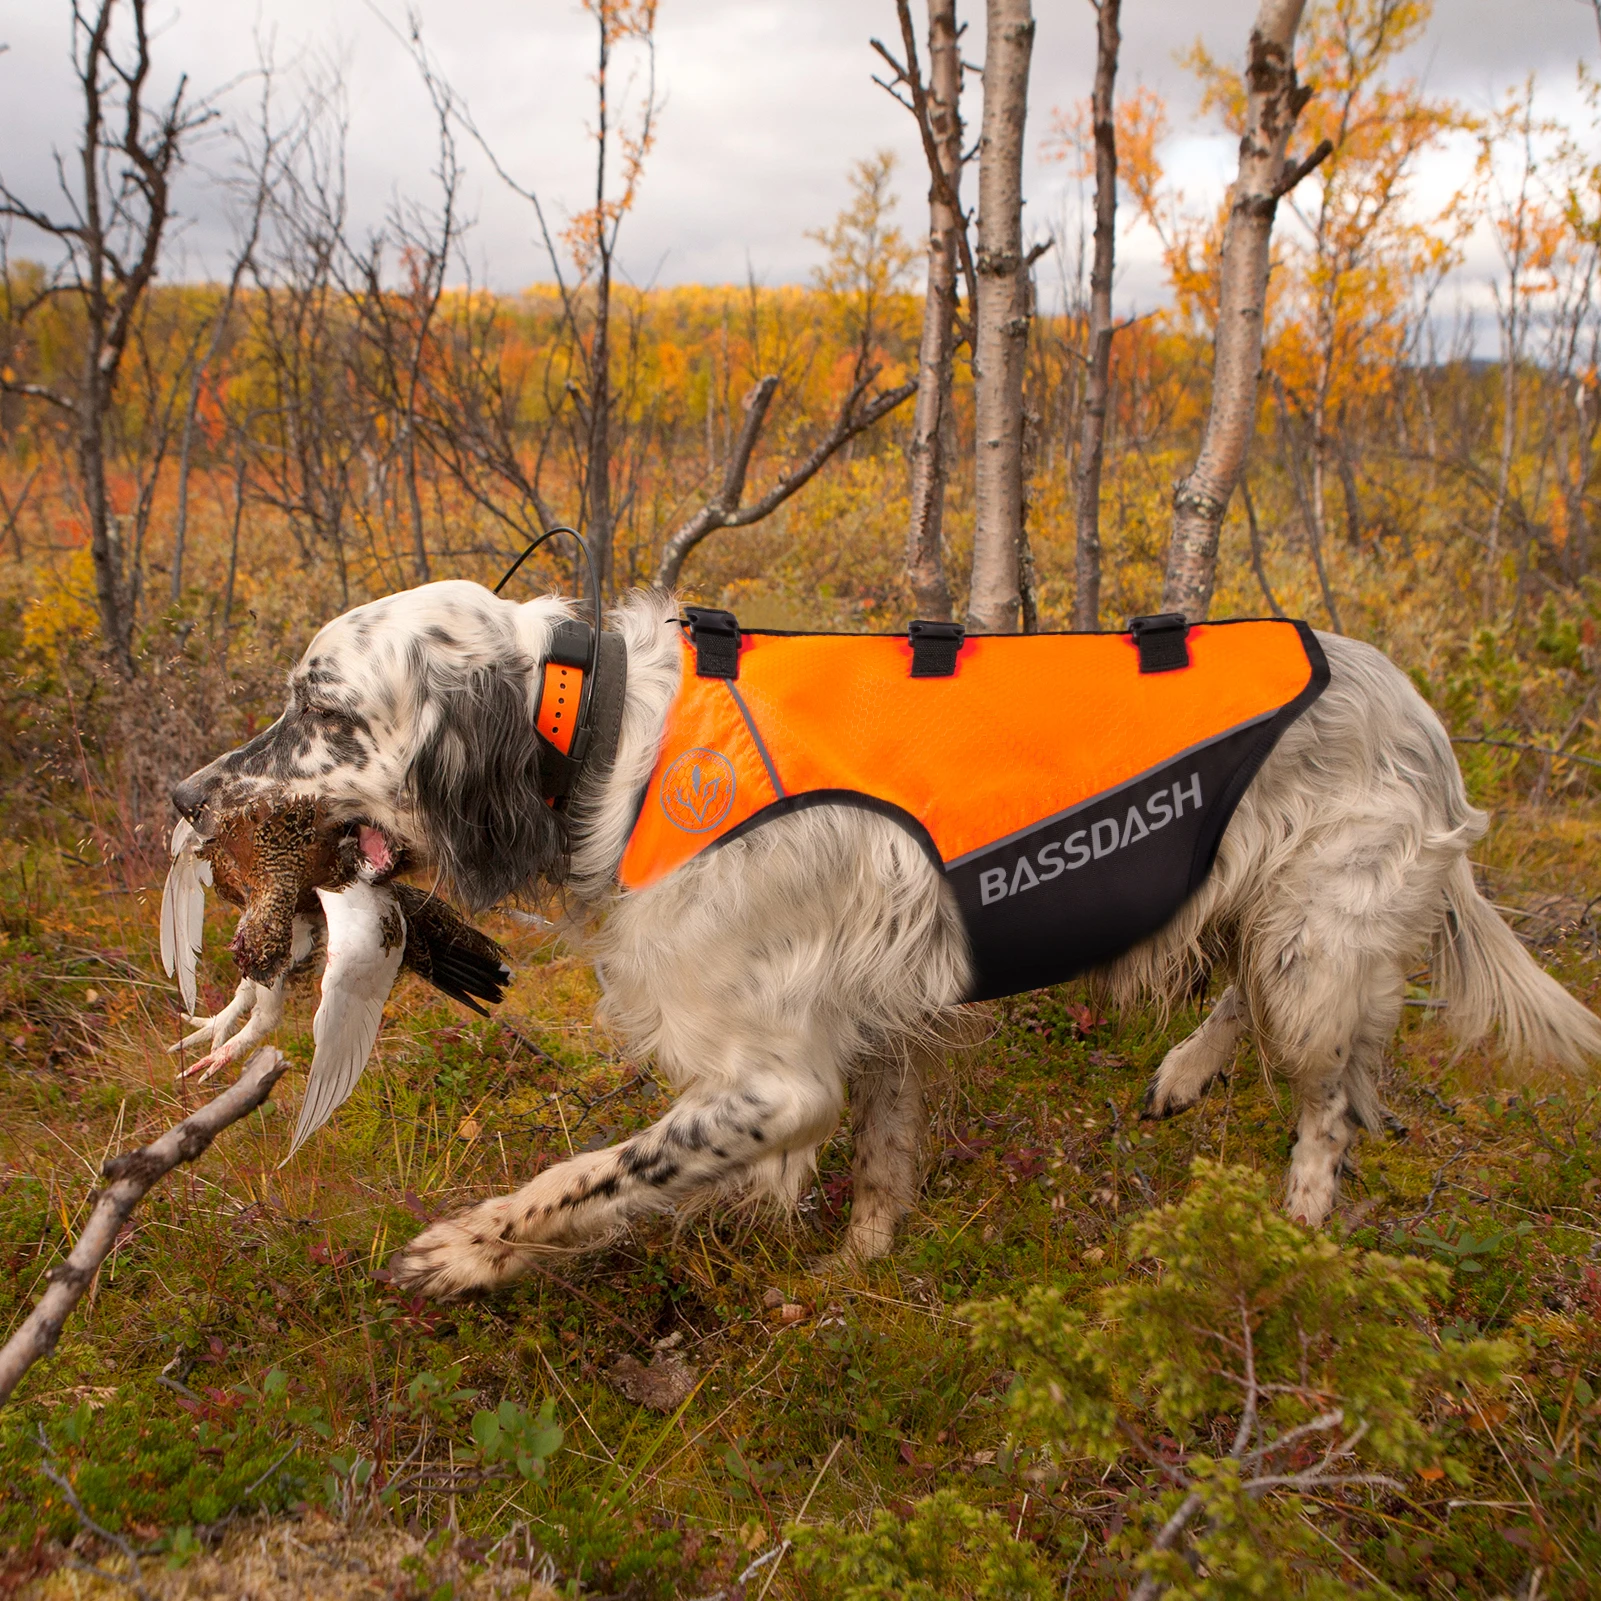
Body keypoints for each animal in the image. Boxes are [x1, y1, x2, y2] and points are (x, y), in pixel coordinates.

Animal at [172, 582, 1601, 1293]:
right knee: (1271, 1011)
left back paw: (1299, 1228)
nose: (185, 798)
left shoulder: (772, 1076)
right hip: (1281, 919)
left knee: (1327, 1097)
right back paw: (1192, 1071)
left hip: (1319, 939)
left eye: (321, 711)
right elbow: (885, 1152)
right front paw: (859, 1264)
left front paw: (466, 1251)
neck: (615, 732)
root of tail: (1418, 707)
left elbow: (592, 1173)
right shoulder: (874, 1015)